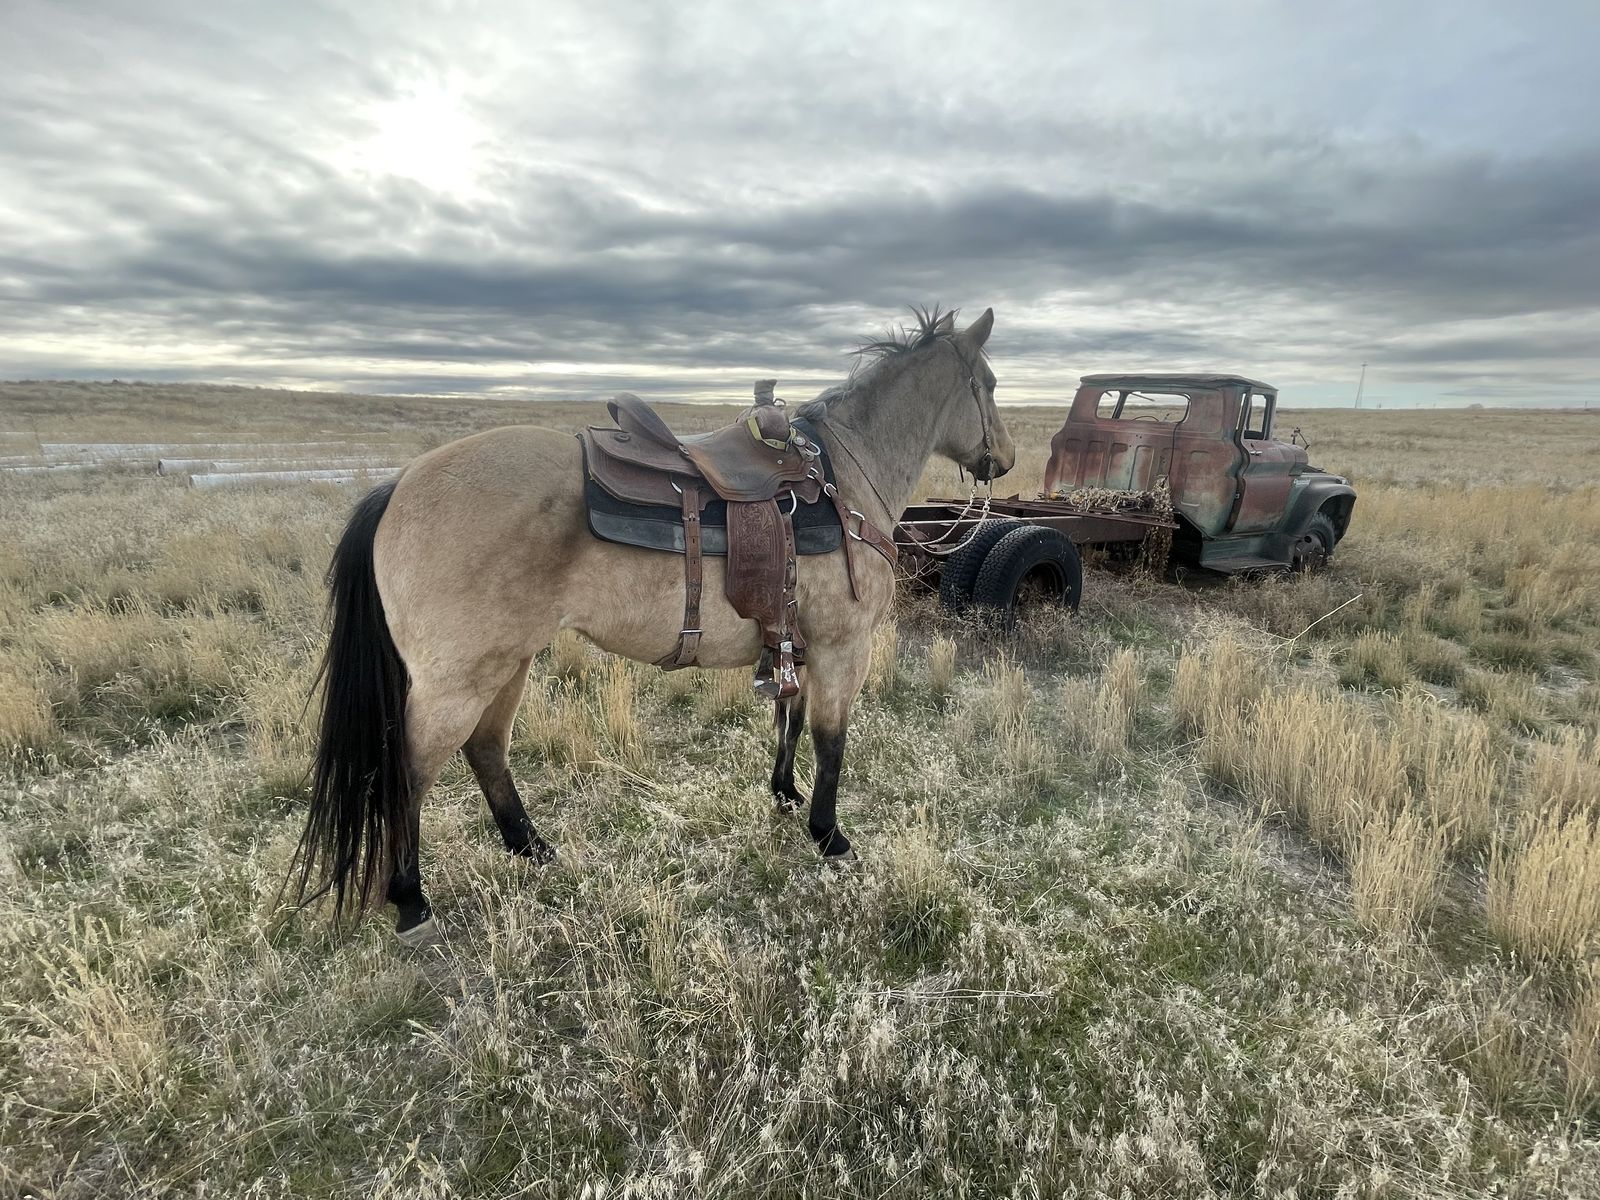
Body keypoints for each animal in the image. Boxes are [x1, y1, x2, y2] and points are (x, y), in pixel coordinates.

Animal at [288, 306, 1015, 946]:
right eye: (988, 383)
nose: (1004, 458)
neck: (840, 478)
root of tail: (400, 484)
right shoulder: (844, 648)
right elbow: (831, 742)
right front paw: (827, 834)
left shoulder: (799, 644)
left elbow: (790, 722)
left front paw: (784, 796)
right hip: (459, 679)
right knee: (411, 773)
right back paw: (411, 900)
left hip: (508, 662)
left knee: (487, 749)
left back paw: (532, 847)